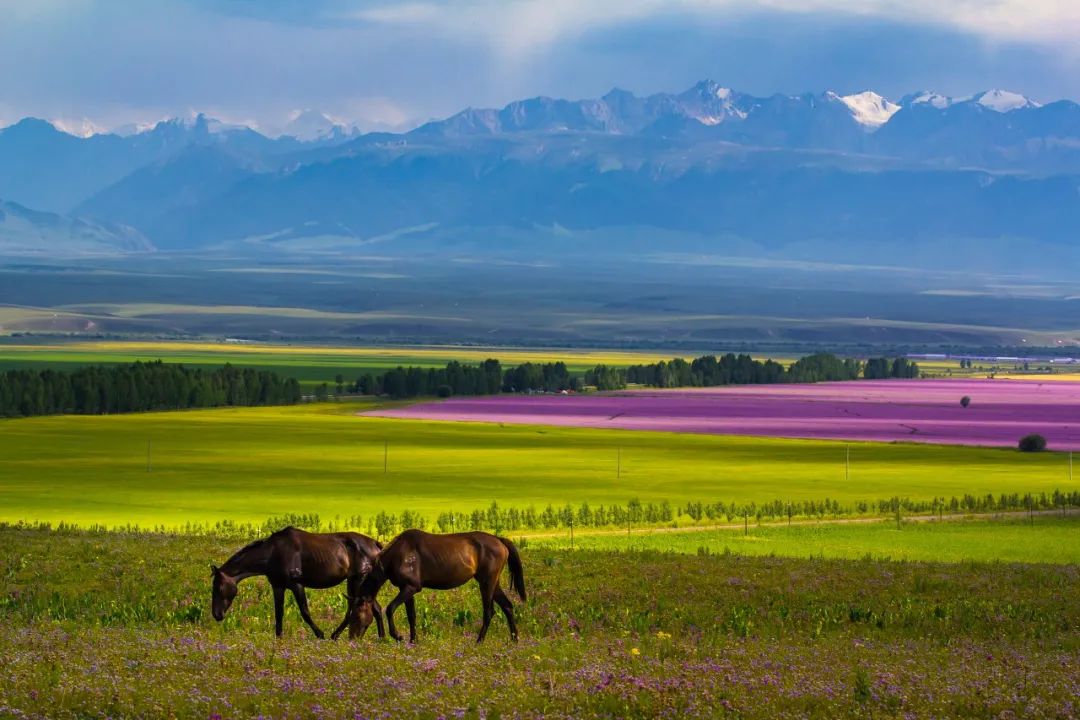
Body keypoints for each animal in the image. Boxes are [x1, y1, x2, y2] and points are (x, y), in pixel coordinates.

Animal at [210, 526, 384, 639]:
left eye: (219, 587)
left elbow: (305, 612)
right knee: (369, 608)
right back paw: (378, 638)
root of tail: (375, 544)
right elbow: (278, 613)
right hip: (352, 581)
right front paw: (279, 638)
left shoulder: (296, 585)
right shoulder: (278, 586)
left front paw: (320, 634)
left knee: (362, 607)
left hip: (359, 580)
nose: (217, 615)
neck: (272, 553)